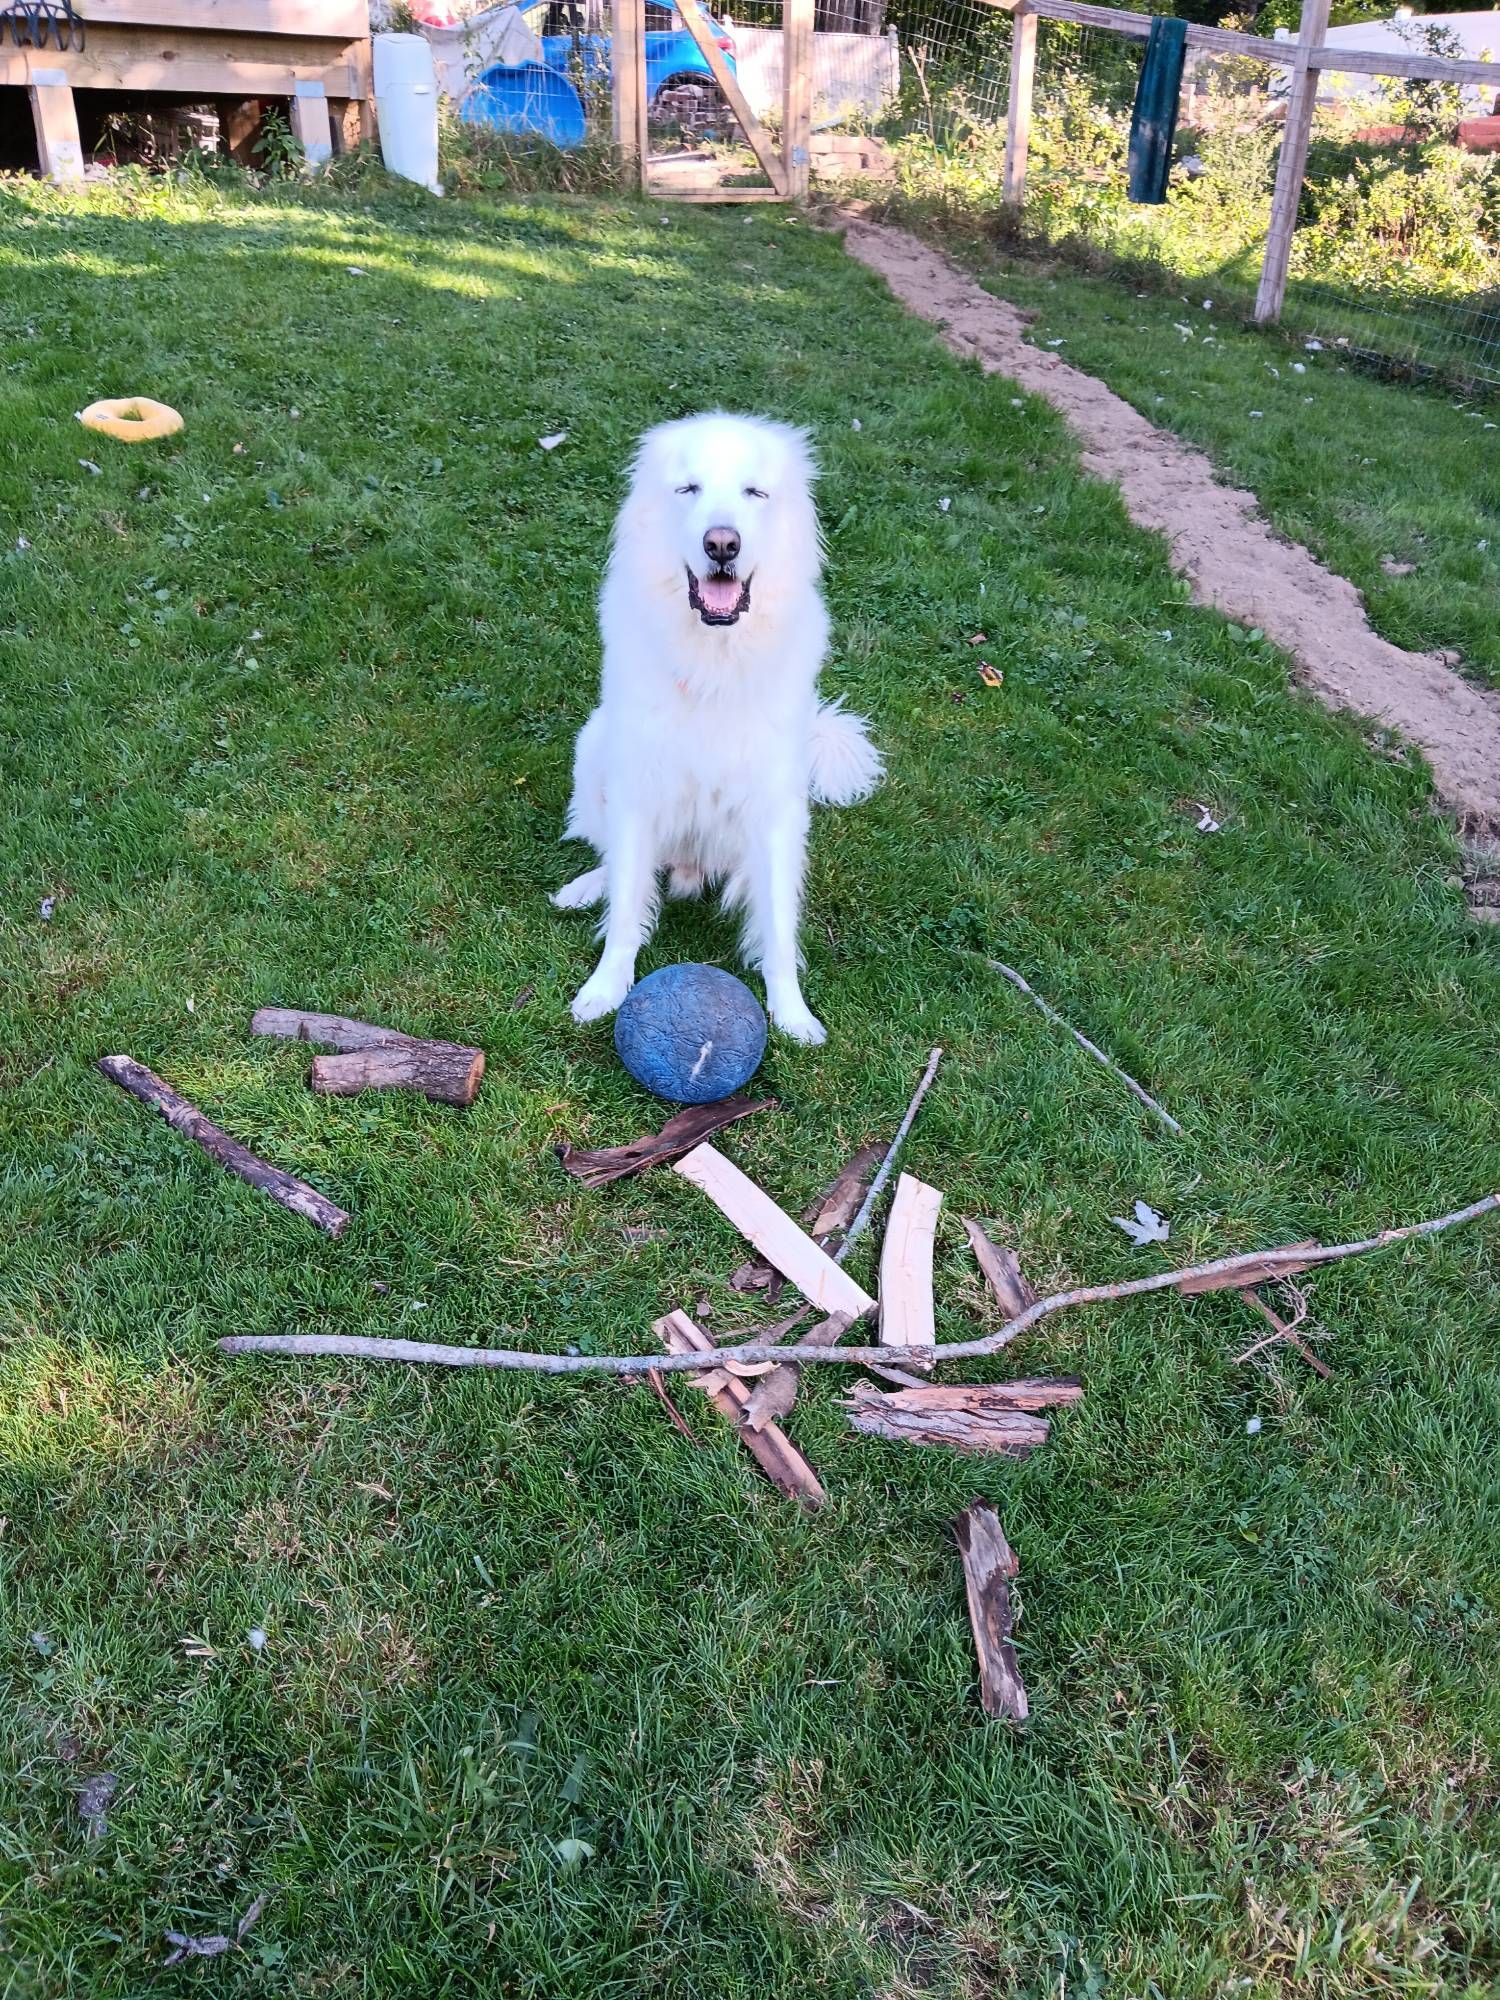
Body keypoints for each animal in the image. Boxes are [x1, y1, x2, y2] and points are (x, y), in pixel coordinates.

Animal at [552, 410, 880, 1048]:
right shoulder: (637, 788)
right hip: (594, 747)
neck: (714, 661)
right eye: (689, 489)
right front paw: (604, 990)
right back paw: (585, 888)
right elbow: (626, 909)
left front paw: (792, 1015)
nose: (722, 543)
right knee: (615, 858)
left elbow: (778, 928)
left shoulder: (774, 808)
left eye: (754, 493)